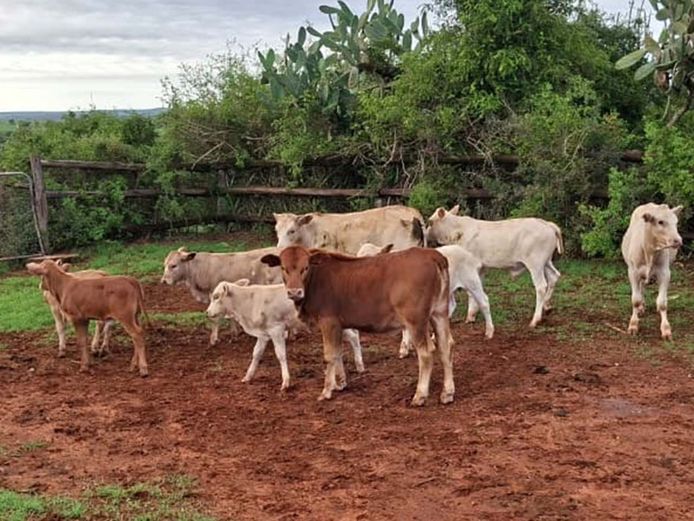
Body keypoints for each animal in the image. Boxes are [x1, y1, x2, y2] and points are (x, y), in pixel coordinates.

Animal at [206, 279, 364, 391]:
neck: (249, 301)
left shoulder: (276, 329)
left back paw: (359, 365)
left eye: (216, 296)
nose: (207, 312)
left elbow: (281, 354)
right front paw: (248, 376)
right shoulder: (263, 334)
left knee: (354, 337)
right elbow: (256, 353)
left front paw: (286, 382)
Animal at [261, 246, 453, 406]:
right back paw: (448, 393)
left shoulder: (328, 321)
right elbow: (338, 353)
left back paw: (420, 395)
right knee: (445, 347)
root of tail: (432, 255)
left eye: (305, 267)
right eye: (283, 268)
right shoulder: (338, 324)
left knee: (426, 354)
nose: (294, 292)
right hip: (439, 313)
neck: (317, 278)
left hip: (415, 320)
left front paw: (326, 391)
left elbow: (329, 355)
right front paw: (340, 383)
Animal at [357, 242, 493, 358]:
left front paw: (405, 348)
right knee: (451, 306)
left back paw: (489, 332)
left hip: (471, 281)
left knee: (484, 302)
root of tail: (469, 254)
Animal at [426, 205, 563, 328]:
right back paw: (547, 306)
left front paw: (470, 316)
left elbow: (471, 292)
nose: (426, 234)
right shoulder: (480, 269)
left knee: (541, 287)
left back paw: (535, 320)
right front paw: (473, 314)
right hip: (546, 262)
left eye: (430, 221)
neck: (458, 231)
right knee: (554, 276)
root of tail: (547, 224)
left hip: (536, 264)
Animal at [621, 203, 684, 340]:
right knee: (640, 288)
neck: (650, 251)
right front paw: (633, 325)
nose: (678, 241)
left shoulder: (665, 273)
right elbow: (635, 300)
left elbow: (662, 302)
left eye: (676, 222)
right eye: (660, 222)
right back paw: (641, 307)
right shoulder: (633, 272)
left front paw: (666, 329)